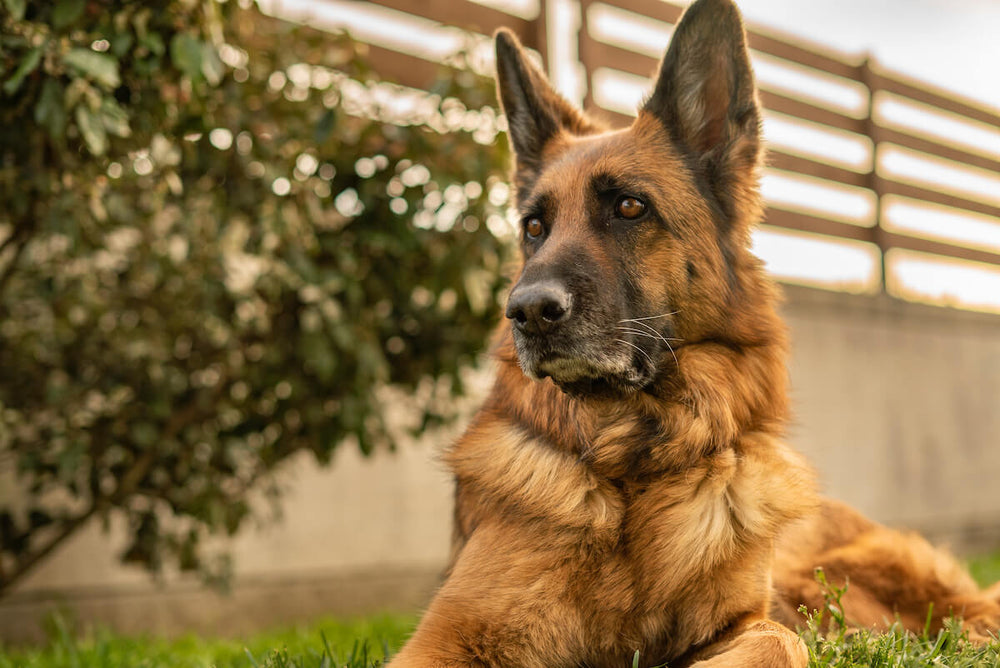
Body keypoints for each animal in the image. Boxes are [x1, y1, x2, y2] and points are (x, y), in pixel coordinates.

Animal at [384, 0, 1000, 664]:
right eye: (534, 228)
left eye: (630, 207)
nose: (526, 311)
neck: (634, 468)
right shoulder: (446, 638)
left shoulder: (748, 619)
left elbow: (781, 640)